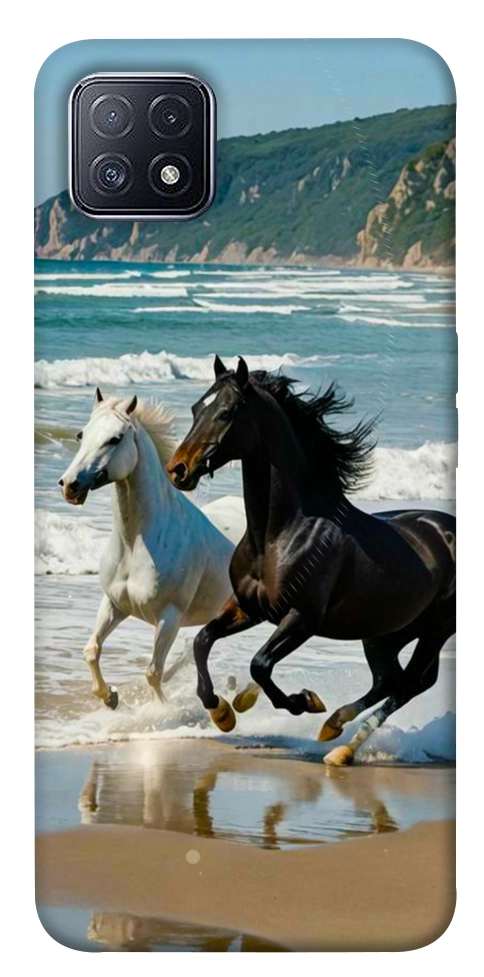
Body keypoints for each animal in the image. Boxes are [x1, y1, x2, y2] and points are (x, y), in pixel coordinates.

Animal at [59, 387, 234, 709]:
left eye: (115, 438)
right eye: (81, 434)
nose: (69, 485)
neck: (135, 544)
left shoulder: (169, 618)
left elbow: (153, 672)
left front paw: (161, 711)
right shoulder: (114, 604)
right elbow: (91, 650)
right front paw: (110, 697)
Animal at [166, 356, 456, 765]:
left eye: (225, 413)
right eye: (195, 409)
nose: (178, 469)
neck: (280, 534)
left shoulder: (302, 618)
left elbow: (260, 664)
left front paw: (303, 701)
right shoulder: (248, 608)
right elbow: (202, 641)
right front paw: (222, 712)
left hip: (435, 629)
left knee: (411, 683)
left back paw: (341, 746)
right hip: (386, 632)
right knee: (390, 679)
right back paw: (334, 728)